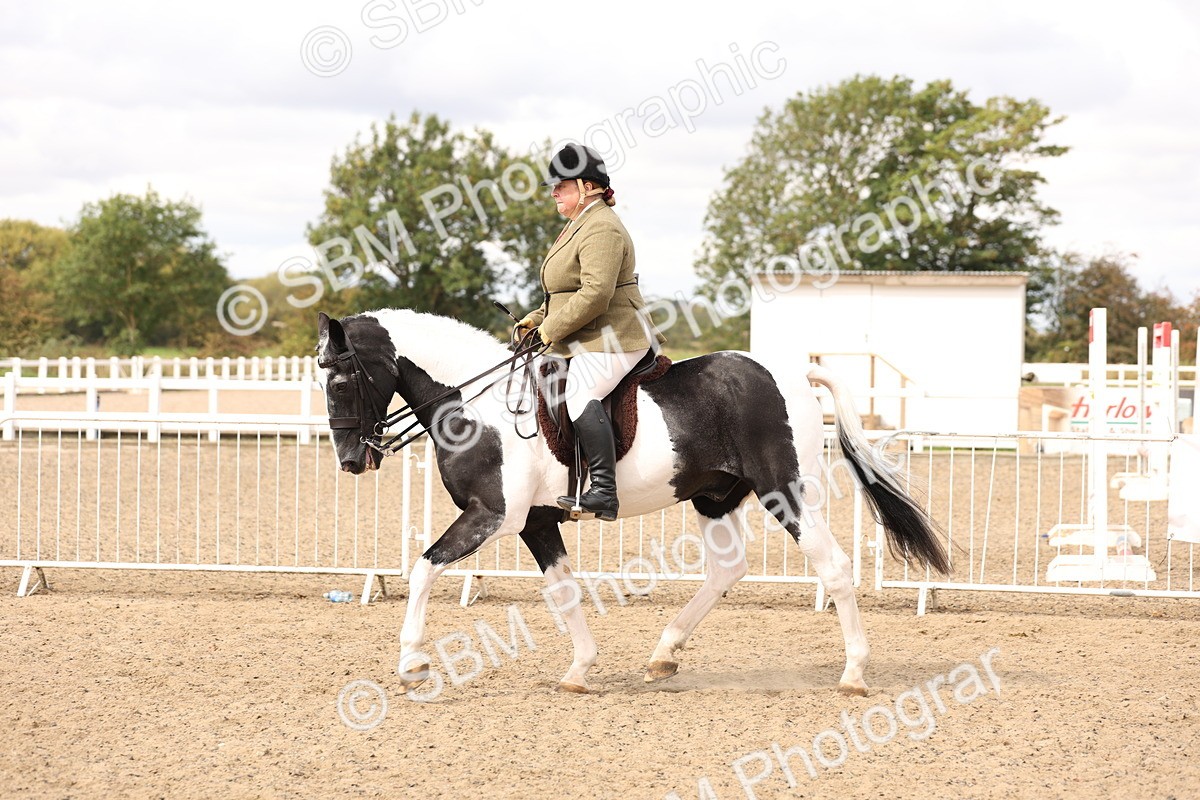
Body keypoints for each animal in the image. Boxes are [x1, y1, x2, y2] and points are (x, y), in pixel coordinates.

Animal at [316, 308, 949, 695]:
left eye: (340, 380)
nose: (350, 461)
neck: (479, 407)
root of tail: (791, 376)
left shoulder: (492, 516)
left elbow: (423, 568)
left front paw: (412, 662)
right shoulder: (536, 522)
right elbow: (564, 591)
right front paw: (580, 669)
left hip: (784, 493)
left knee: (835, 567)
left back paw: (854, 673)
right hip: (714, 498)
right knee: (727, 570)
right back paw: (664, 654)